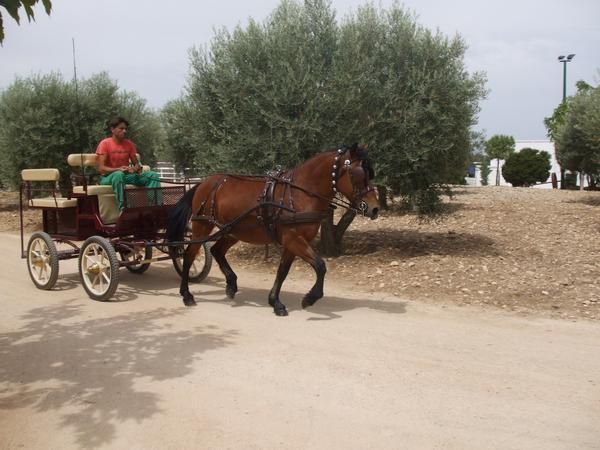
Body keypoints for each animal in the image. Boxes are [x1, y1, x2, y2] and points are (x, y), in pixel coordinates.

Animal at [166, 144, 378, 316]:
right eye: (357, 174)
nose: (374, 208)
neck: (300, 193)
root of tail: (203, 183)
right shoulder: (293, 238)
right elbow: (320, 266)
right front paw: (309, 298)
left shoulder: (293, 241)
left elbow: (282, 271)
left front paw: (275, 302)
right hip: (202, 227)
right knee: (189, 255)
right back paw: (186, 294)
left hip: (234, 230)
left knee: (217, 250)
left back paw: (231, 285)